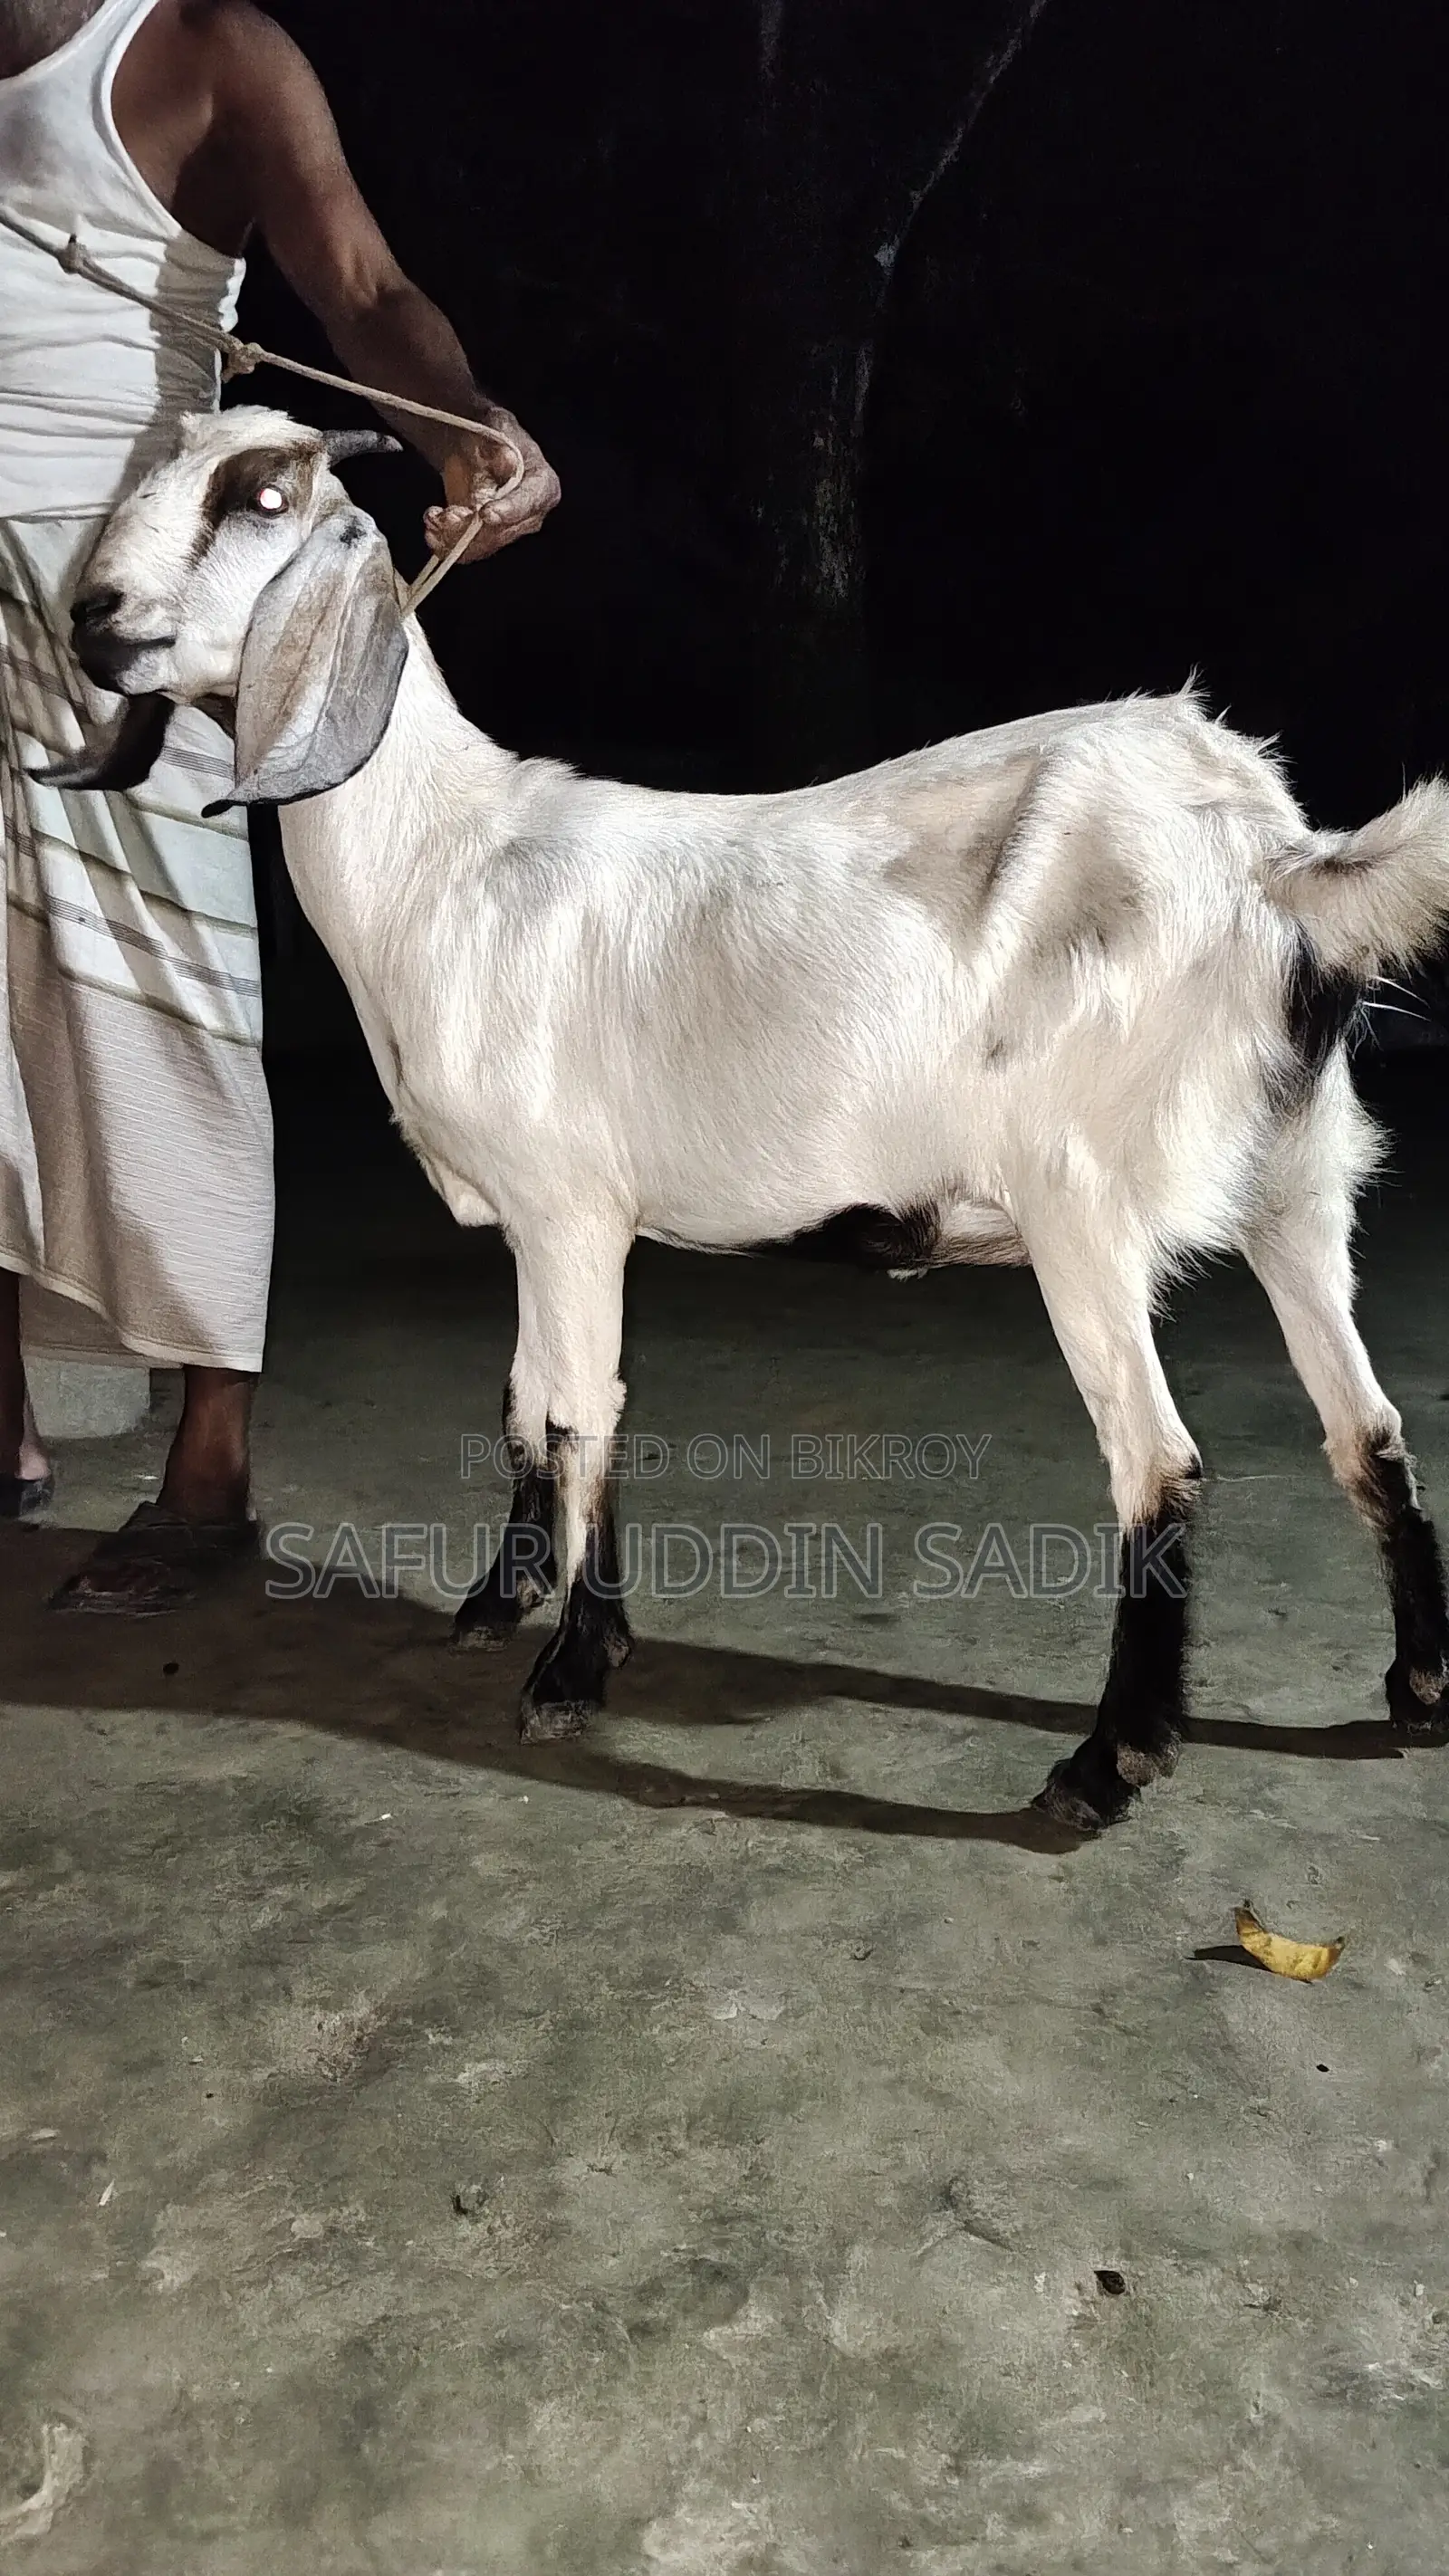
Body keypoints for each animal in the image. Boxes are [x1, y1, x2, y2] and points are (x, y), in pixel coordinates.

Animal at [46, 404, 1449, 1829]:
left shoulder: (572, 1205)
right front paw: (508, 1600)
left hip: (1084, 1202)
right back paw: (1419, 1687)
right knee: (1370, 1426)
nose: (92, 614)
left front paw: (572, 1667)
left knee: (1159, 1463)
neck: (448, 863)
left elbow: (581, 1410)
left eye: (262, 497)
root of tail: (1273, 855)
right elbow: (529, 1396)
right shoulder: (536, 1219)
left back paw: (1109, 1762)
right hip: (1298, 1182)